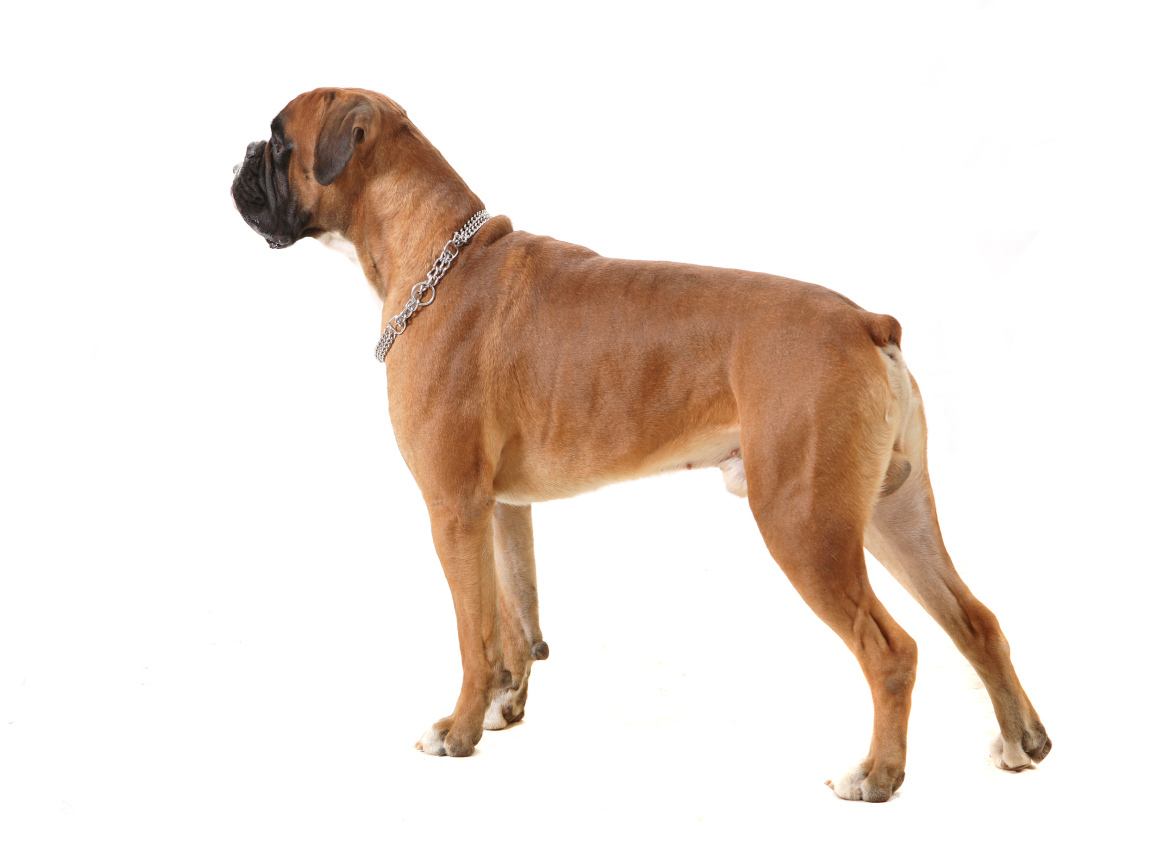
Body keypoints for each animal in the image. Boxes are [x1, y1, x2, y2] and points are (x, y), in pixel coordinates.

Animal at [231, 87, 1050, 802]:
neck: (437, 252)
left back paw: (876, 776)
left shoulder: (452, 508)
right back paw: (1021, 743)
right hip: (889, 514)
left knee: (891, 650)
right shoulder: (500, 508)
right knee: (976, 621)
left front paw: (459, 733)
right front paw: (501, 709)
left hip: (804, 523)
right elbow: (514, 617)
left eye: (278, 137)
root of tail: (866, 321)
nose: (241, 154)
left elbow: (473, 630)